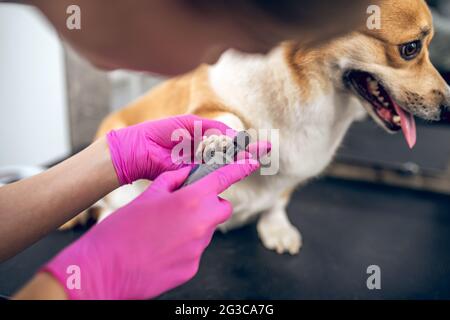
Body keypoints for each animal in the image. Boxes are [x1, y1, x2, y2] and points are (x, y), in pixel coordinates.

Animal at [62, 0, 450, 255]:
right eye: (410, 48)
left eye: (428, 45)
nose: (448, 107)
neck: (304, 85)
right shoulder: (209, 96)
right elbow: (226, 119)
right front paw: (219, 142)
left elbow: (278, 199)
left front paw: (276, 228)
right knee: (103, 205)